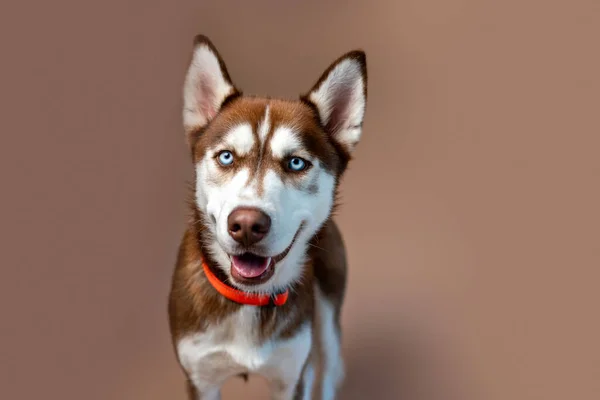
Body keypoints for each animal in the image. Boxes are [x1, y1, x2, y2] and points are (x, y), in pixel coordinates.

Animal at [166, 35, 368, 400]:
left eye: (296, 163)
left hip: (328, 312)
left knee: (328, 368)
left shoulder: (289, 377)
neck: (247, 300)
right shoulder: (200, 377)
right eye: (226, 157)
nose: (247, 225)